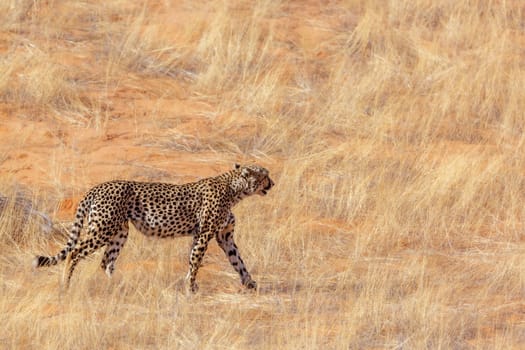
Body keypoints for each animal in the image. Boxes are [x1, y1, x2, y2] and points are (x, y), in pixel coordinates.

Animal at [32, 164, 274, 292]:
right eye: (265, 175)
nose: (272, 183)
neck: (234, 190)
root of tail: (98, 186)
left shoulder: (224, 237)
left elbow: (238, 261)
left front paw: (251, 284)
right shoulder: (204, 234)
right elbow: (196, 261)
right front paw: (191, 288)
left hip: (120, 232)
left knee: (106, 262)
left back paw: (116, 286)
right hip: (103, 229)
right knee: (74, 253)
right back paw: (65, 284)